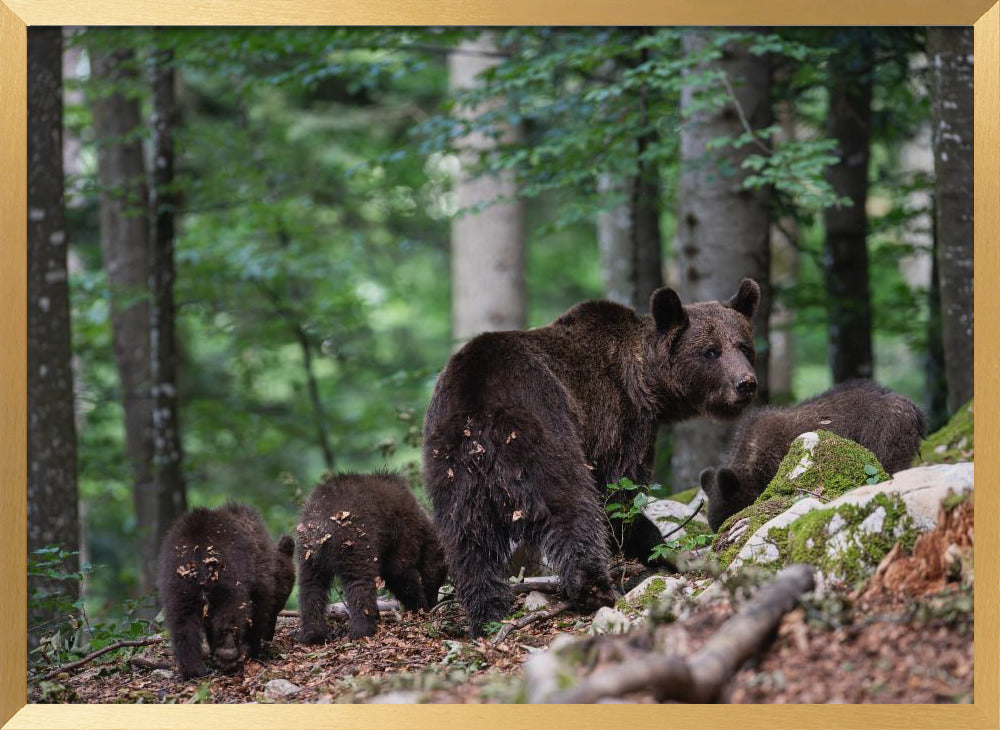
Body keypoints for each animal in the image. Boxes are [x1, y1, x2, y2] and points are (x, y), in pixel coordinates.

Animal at [157, 502, 295, 679]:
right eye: (280, 604)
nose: (270, 635)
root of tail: (196, 552)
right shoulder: (259, 580)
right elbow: (257, 611)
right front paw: (254, 647)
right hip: (227, 577)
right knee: (230, 611)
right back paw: (228, 653)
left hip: (177, 584)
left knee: (181, 623)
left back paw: (193, 669)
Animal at [295, 472, 447, 643]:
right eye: (441, 578)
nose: (434, 602)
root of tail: (320, 527)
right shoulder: (403, 530)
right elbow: (398, 571)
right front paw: (419, 606)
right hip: (354, 542)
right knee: (360, 583)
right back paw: (362, 630)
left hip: (308, 554)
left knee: (310, 587)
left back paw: (312, 634)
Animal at [422, 279, 761, 637]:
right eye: (710, 351)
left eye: (744, 346)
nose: (746, 384)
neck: (649, 383)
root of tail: (478, 405)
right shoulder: (620, 420)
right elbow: (620, 494)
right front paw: (655, 548)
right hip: (542, 426)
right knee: (569, 505)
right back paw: (594, 589)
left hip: (451, 463)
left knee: (467, 538)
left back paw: (486, 613)